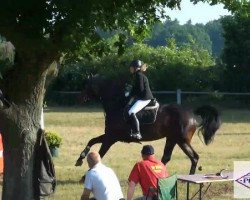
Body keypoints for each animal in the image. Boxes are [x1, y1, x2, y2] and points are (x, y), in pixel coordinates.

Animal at [75, 74, 221, 173]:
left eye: (86, 86)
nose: (79, 98)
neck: (117, 105)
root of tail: (192, 113)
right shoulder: (110, 135)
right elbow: (91, 140)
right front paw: (80, 159)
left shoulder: (111, 137)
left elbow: (100, 152)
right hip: (173, 139)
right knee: (172, 157)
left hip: (181, 140)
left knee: (192, 157)